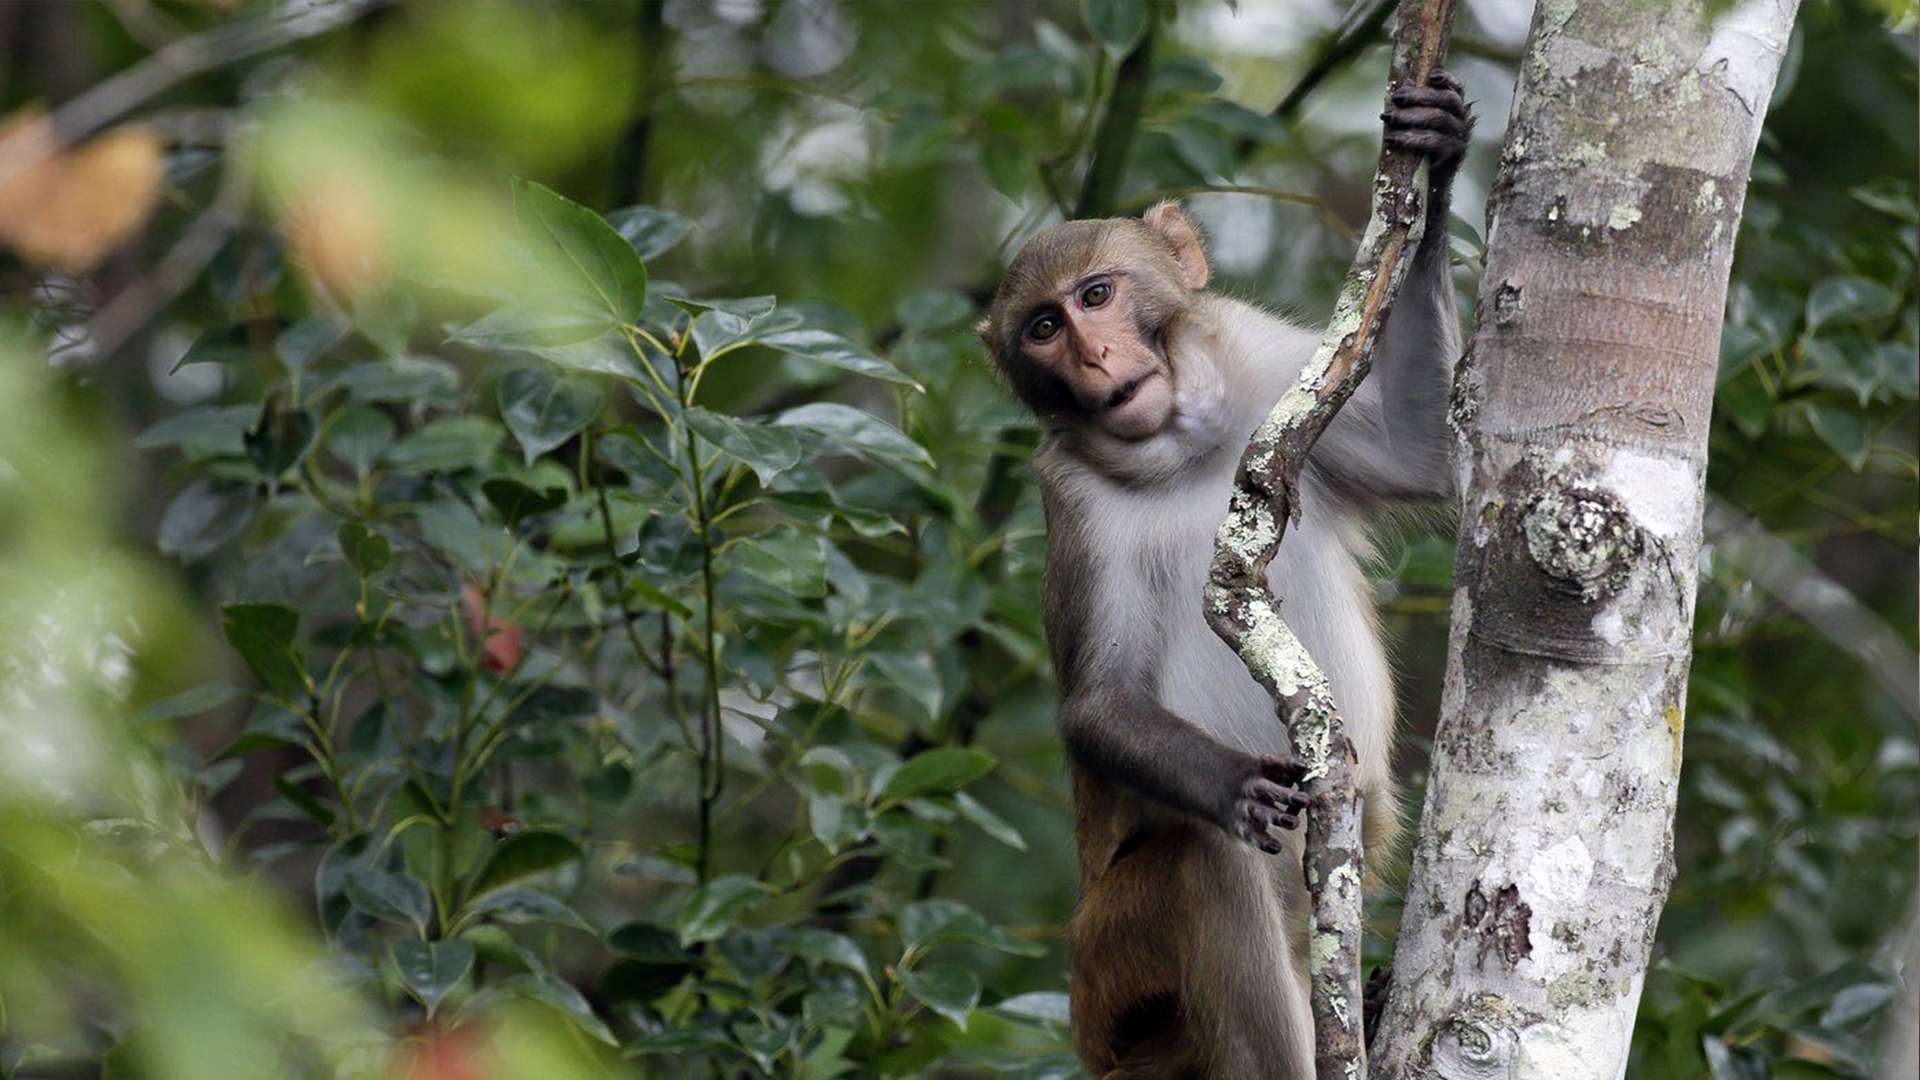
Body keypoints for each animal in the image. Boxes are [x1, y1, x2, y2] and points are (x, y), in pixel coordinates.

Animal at [983, 71, 1474, 1068]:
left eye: (1097, 294)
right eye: (1045, 327)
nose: (1093, 356)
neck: (1185, 450)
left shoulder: (1275, 367)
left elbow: (1425, 455)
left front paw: (1437, 159)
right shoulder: (1071, 502)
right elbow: (1099, 704)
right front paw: (1232, 785)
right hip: (1113, 964)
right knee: (1204, 868)